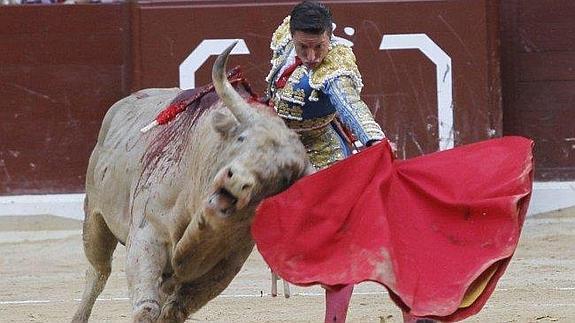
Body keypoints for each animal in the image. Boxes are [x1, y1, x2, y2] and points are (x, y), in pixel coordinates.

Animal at [73, 43, 312, 323]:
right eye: (241, 138)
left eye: (280, 177)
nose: (236, 180)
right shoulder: (147, 232)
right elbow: (146, 308)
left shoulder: (226, 265)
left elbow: (174, 310)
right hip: (95, 217)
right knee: (97, 271)